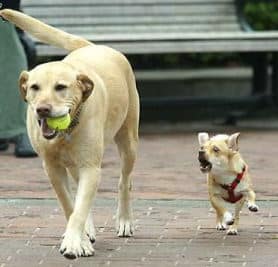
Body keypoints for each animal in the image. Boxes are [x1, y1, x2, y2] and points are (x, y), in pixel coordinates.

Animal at [0, 9, 139, 260]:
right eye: (34, 87)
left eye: (61, 87)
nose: (42, 109)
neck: (65, 133)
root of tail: (92, 46)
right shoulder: (53, 168)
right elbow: (70, 205)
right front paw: (81, 239)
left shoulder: (91, 167)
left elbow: (79, 207)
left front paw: (74, 243)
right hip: (76, 164)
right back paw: (89, 229)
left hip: (128, 142)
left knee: (124, 181)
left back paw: (124, 220)